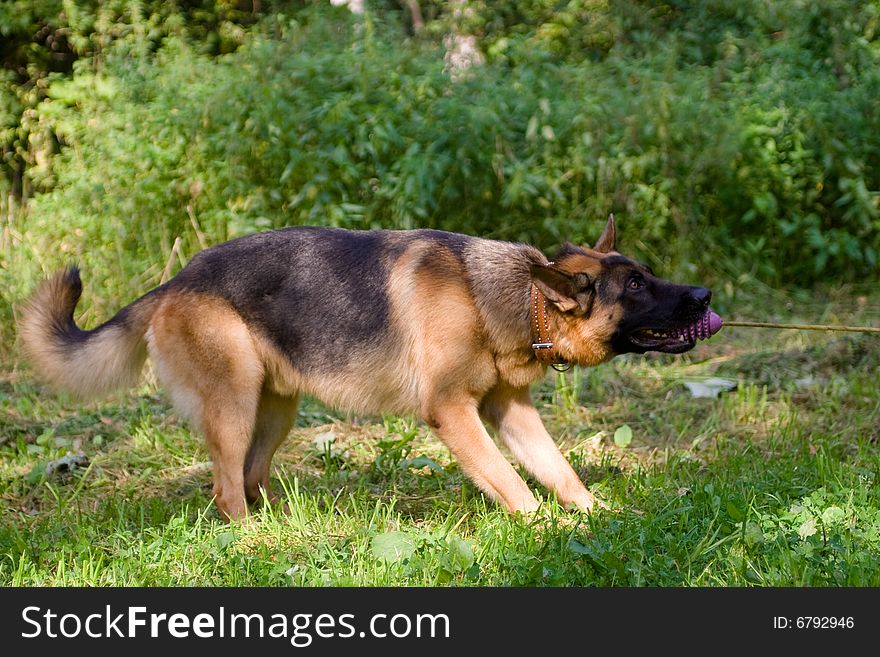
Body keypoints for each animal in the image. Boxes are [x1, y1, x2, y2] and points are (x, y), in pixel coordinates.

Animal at [18, 218, 716, 520]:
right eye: (636, 284)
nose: (706, 295)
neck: (509, 296)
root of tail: (172, 283)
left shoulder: (511, 413)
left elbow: (560, 473)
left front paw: (599, 516)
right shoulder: (455, 415)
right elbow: (509, 481)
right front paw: (542, 528)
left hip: (275, 411)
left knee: (250, 478)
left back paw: (290, 530)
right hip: (235, 404)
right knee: (225, 489)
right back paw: (255, 544)